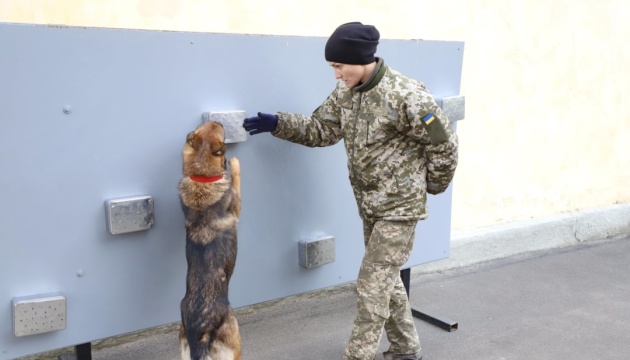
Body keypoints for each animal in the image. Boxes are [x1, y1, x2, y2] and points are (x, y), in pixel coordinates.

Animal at [180, 121, 244, 360]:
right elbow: (236, 179)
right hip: (235, 342)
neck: (202, 177)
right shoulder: (237, 204)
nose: (220, 121)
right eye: (221, 131)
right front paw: (234, 163)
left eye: (202, 126)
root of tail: (200, 333)